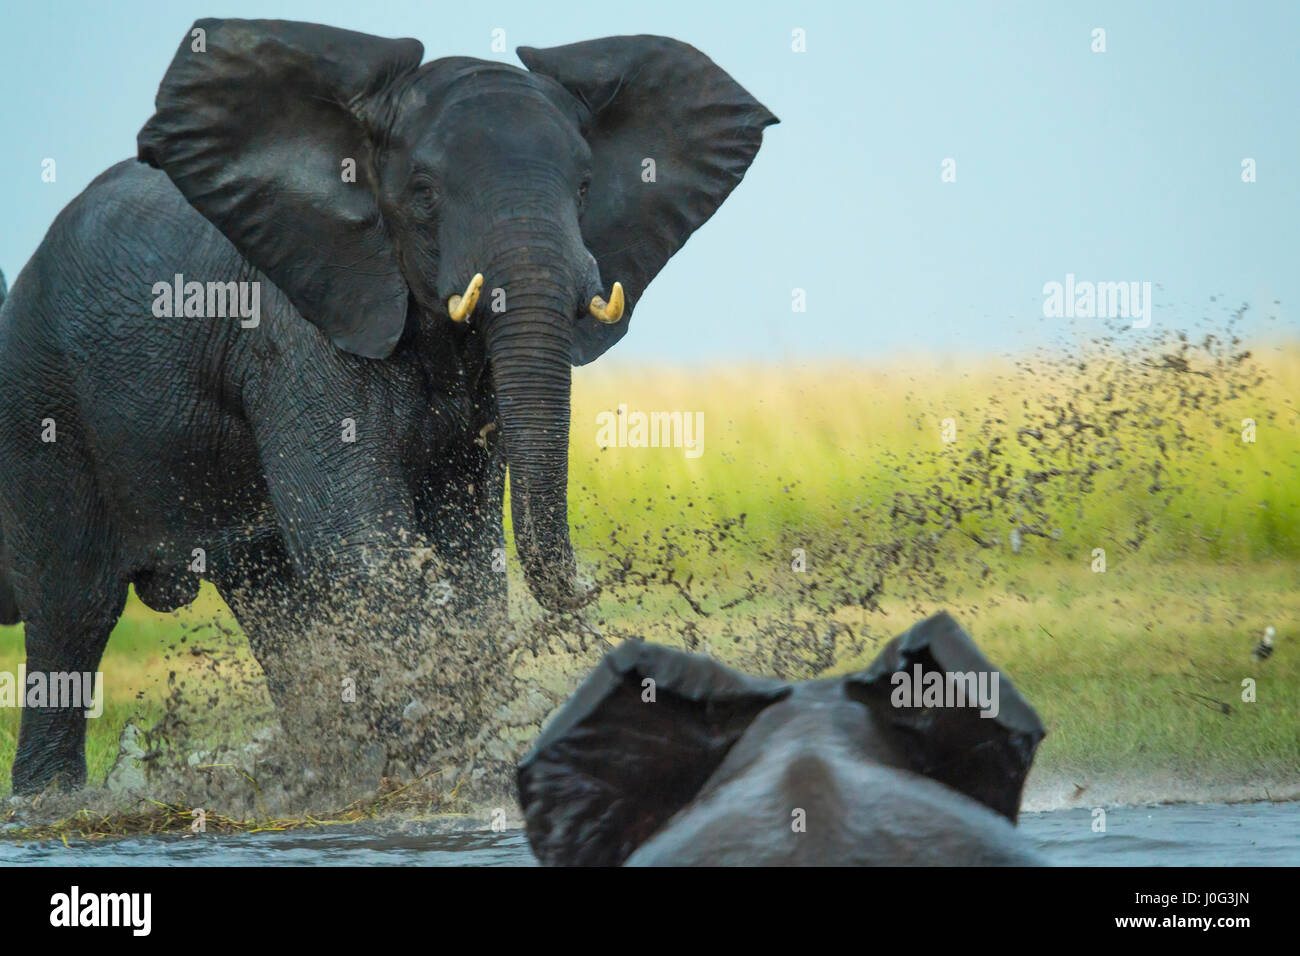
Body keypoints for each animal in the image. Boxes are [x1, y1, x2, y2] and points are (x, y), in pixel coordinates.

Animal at [0, 20, 769, 790]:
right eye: (423, 191)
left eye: (584, 187)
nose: (593, 585)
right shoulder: (299, 327)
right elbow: (360, 539)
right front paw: (435, 755)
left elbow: (465, 544)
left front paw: (451, 748)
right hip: (43, 400)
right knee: (74, 608)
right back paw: (52, 799)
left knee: (267, 597)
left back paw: (319, 769)